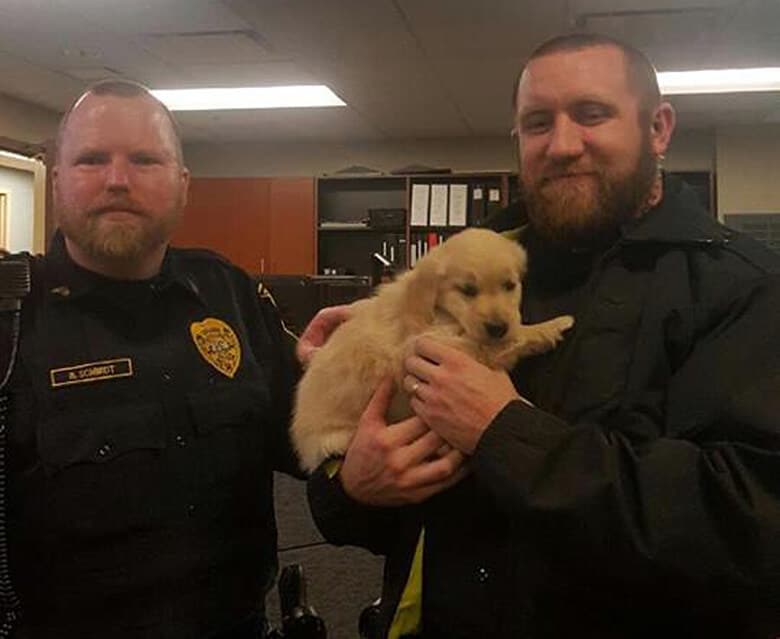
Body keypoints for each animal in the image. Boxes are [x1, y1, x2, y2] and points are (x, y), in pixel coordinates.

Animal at [292, 228, 572, 472]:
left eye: (509, 285)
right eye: (468, 290)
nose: (498, 327)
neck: (440, 309)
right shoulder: (429, 344)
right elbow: (497, 343)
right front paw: (552, 326)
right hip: (341, 437)